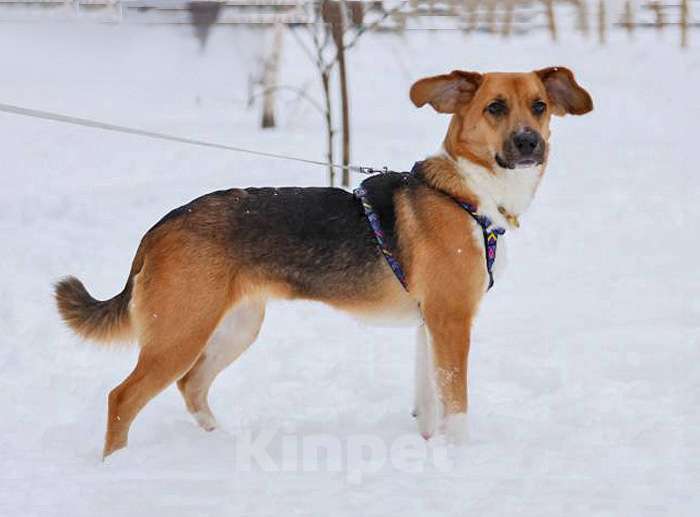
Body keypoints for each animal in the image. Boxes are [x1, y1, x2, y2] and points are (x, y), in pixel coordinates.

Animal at [54, 65, 592, 456]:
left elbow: (430, 402)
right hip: (181, 331)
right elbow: (455, 403)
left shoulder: (431, 323)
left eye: (540, 107)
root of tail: (161, 226)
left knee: (191, 386)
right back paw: (116, 466)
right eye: (495, 107)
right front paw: (461, 457)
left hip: (235, 327)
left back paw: (223, 443)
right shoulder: (452, 320)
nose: (529, 142)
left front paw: (428, 449)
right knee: (123, 399)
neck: (467, 193)